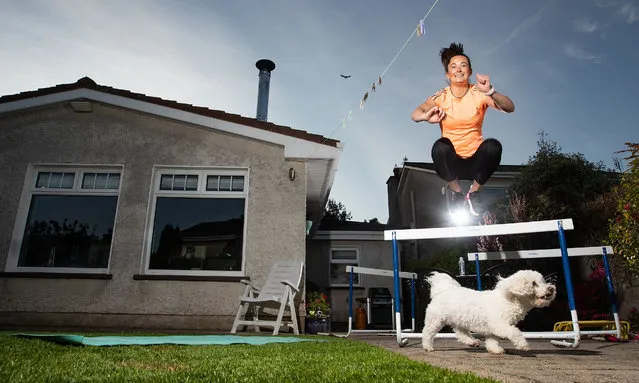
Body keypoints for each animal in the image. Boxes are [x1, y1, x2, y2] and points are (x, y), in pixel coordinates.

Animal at [420, 270, 556, 354]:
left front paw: (495, 349)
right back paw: (427, 346)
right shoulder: (499, 325)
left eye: (543, 281)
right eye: (534, 283)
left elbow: (492, 340)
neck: (508, 300)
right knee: (427, 332)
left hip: (459, 320)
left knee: (461, 333)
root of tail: (442, 291)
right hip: (435, 320)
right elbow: (515, 332)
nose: (551, 288)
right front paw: (523, 345)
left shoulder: (492, 329)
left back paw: (472, 342)